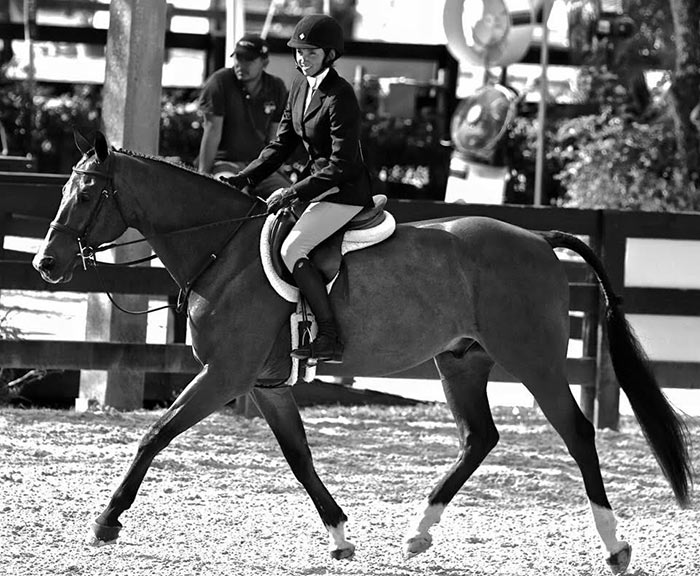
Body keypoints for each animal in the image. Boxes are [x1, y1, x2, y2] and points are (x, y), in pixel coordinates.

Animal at [34, 133, 696, 572]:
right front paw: (339, 536)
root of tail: (537, 236)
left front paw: (106, 520)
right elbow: (299, 458)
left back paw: (614, 546)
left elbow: (154, 435)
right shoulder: (265, 384)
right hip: (461, 361)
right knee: (479, 437)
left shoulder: (224, 375)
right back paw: (420, 533)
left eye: (87, 194)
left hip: (533, 362)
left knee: (577, 432)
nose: (45, 263)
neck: (225, 252)